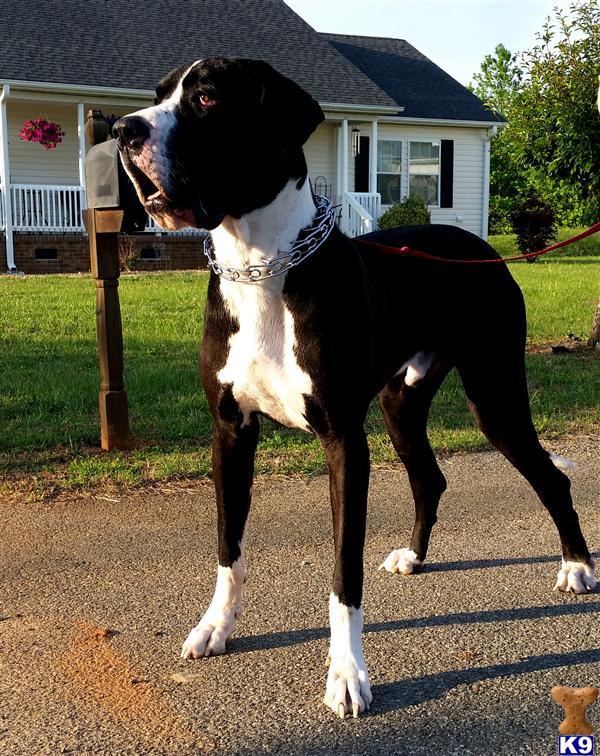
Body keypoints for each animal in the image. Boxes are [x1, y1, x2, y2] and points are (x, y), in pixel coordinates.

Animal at [113, 56, 596, 716]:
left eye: (207, 98)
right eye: (159, 94)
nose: (121, 130)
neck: (262, 264)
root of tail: (480, 249)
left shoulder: (344, 439)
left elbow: (344, 573)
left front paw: (346, 673)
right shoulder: (231, 432)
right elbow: (228, 546)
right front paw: (216, 626)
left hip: (494, 396)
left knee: (551, 477)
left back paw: (576, 565)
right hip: (401, 402)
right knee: (430, 477)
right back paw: (414, 556)